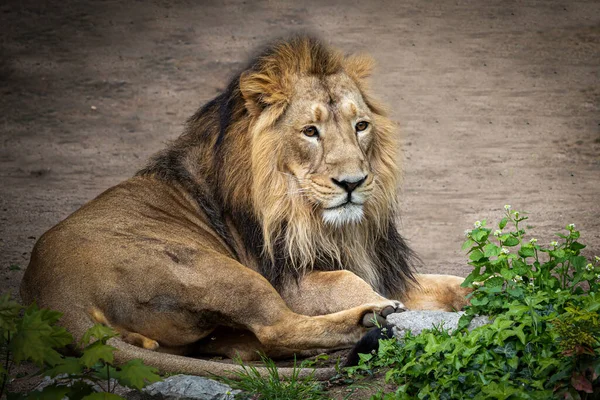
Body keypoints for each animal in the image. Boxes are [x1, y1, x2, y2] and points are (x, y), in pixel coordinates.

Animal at [18, 35, 472, 378]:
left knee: (251, 346)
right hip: (219, 270)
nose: (353, 183)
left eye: (361, 126)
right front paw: (384, 306)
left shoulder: (383, 266)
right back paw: (371, 318)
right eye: (310, 131)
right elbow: (346, 280)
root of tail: (53, 299)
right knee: (279, 329)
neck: (325, 223)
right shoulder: (291, 281)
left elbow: (452, 282)